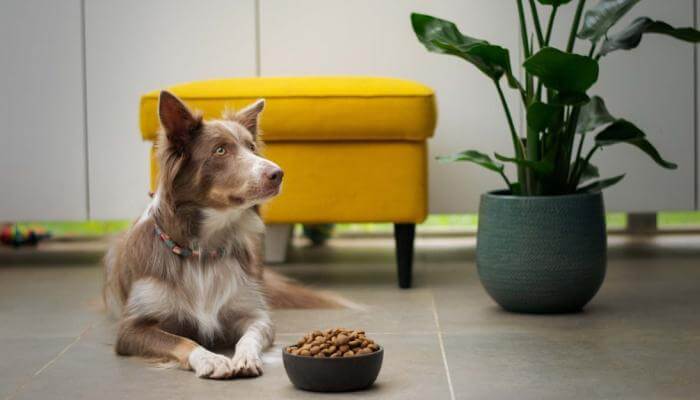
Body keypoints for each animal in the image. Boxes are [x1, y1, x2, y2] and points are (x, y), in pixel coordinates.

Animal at [104, 90, 342, 378]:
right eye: (220, 150)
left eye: (251, 147)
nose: (278, 174)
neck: (203, 251)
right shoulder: (131, 329)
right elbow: (182, 340)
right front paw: (211, 359)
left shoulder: (254, 313)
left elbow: (251, 334)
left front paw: (246, 357)